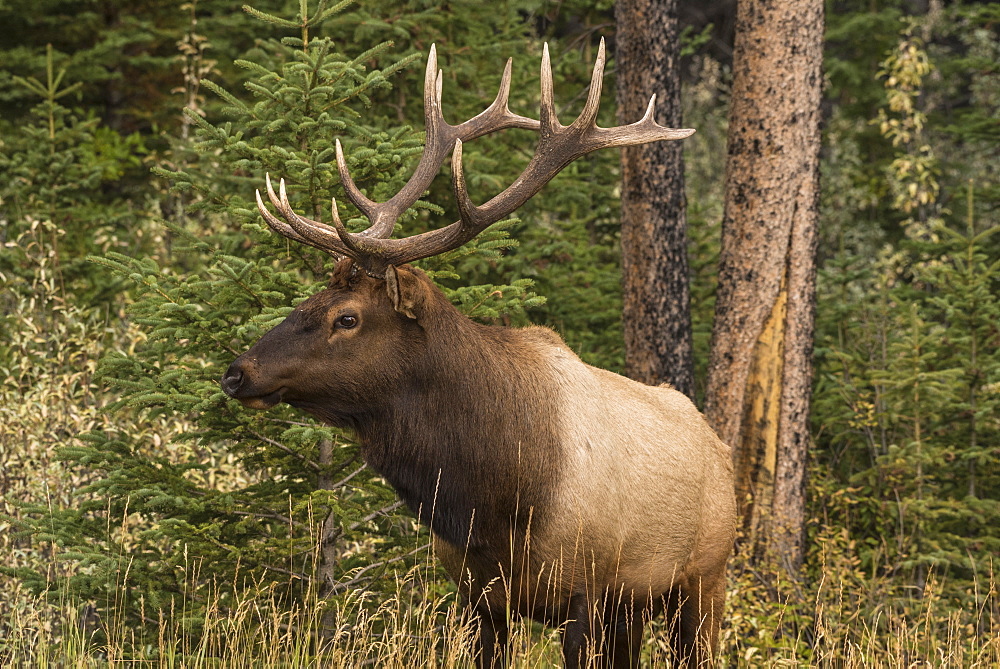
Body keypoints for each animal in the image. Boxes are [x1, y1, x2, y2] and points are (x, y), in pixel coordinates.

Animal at [223, 40, 740, 664]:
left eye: (345, 317)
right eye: (308, 298)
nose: (237, 373)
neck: (489, 502)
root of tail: (718, 446)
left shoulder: (587, 592)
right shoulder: (477, 596)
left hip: (703, 578)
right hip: (636, 608)